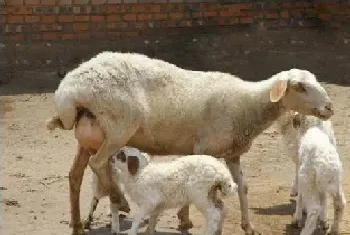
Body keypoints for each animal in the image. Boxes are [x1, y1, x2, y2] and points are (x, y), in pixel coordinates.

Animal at [46, 51, 334, 235]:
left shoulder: (232, 154)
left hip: (90, 136)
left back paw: (77, 225)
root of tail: (68, 90)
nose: (330, 107)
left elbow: (243, 187)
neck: (247, 104)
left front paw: (248, 226)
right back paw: (119, 200)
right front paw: (184, 219)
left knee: (75, 175)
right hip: (118, 127)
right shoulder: (204, 149)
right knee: (98, 164)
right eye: (300, 87)